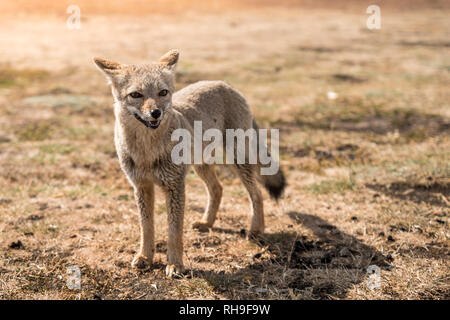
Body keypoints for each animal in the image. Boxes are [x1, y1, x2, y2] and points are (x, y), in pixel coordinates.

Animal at [93, 50, 286, 278]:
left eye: (163, 92)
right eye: (136, 95)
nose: (156, 113)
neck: (147, 152)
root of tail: (224, 84)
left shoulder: (175, 186)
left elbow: (174, 231)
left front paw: (175, 265)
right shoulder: (141, 186)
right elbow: (146, 227)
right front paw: (145, 257)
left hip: (237, 160)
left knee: (256, 194)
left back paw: (256, 230)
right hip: (201, 165)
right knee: (218, 188)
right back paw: (206, 223)